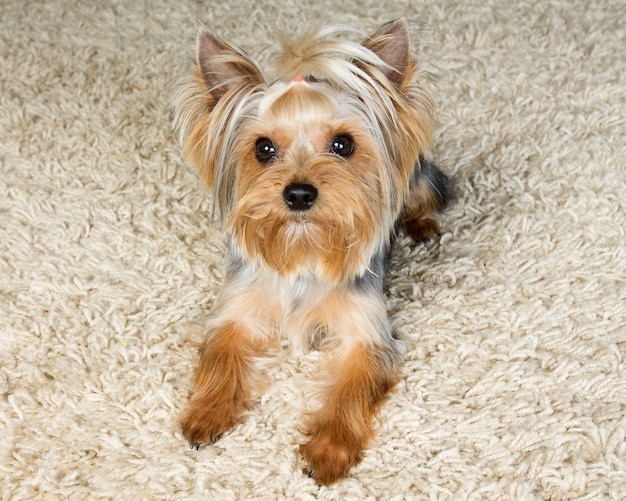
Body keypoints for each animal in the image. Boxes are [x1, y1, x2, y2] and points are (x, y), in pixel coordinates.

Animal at [171, 17, 448, 482]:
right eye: (264, 148)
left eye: (343, 144)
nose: (298, 193)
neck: (304, 248)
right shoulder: (238, 311)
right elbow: (220, 355)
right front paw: (207, 412)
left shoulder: (366, 336)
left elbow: (351, 389)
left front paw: (329, 450)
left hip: (421, 177)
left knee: (425, 196)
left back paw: (422, 225)